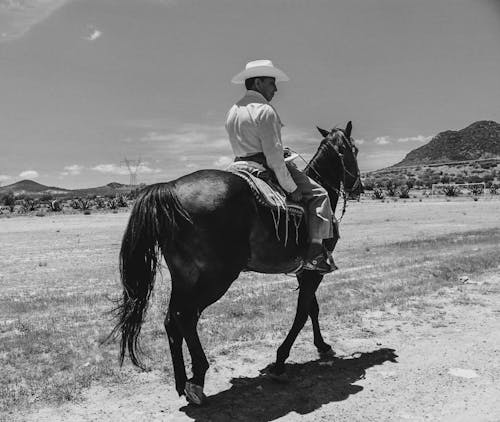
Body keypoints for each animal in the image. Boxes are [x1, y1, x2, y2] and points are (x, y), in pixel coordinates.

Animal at [112, 120, 364, 404]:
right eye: (353, 149)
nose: (358, 186)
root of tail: (170, 188)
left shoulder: (305, 270)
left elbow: (312, 309)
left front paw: (322, 346)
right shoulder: (314, 271)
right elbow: (302, 314)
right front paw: (280, 362)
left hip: (185, 276)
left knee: (172, 319)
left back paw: (181, 382)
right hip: (216, 278)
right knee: (186, 316)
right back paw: (197, 379)